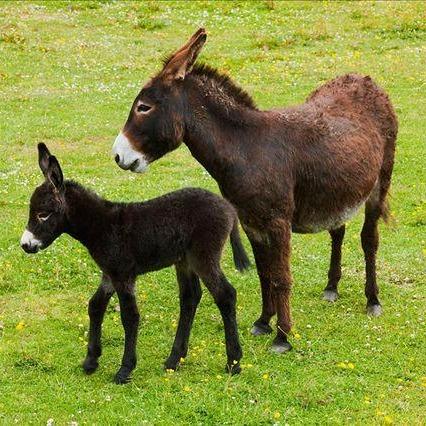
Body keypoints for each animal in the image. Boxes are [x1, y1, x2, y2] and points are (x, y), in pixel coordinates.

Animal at [21, 145, 245, 384]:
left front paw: (125, 369)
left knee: (225, 295)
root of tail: (228, 208)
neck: (102, 226)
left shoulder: (123, 275)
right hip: (185, 260)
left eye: (43, 214)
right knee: (190, 297)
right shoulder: (109, 274)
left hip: (203, 257)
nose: (25, 245)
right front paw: (91, 361)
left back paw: (233, 362)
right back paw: (174, 360)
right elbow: (95, 306)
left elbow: (130, 316)